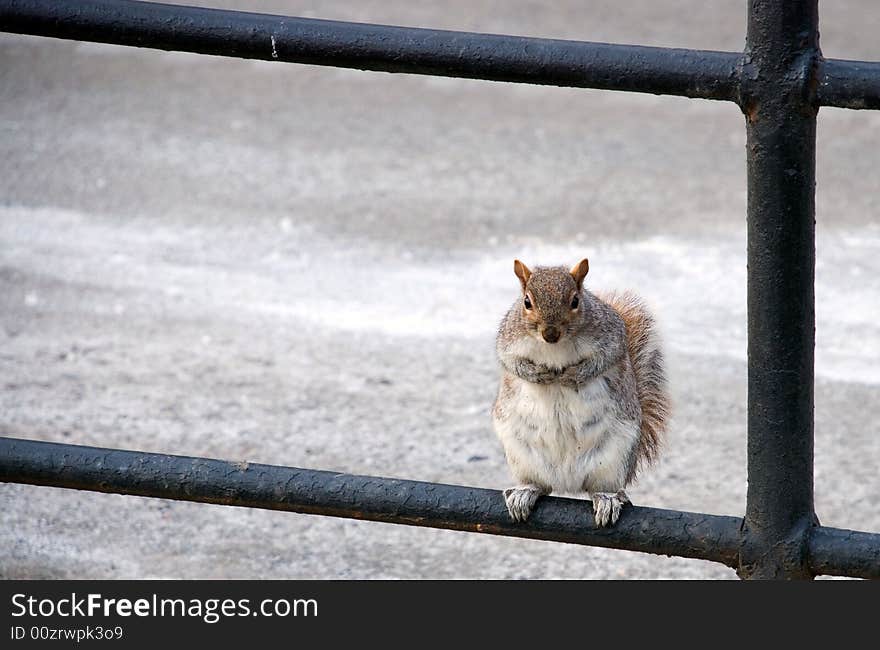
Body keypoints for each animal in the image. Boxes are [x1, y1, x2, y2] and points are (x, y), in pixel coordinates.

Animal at [492, 256, 672, 524]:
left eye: (575, 301)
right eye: (526, 302)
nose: (550, 334)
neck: (554, 348)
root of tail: (567, 482)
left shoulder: (611, 335)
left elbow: (604, 359)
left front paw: (573, 375)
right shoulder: (508, 339)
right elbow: (511, 362)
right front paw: (537, 374)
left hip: (616, 456)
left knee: (601, 487)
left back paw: (607, 499)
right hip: (520, 455)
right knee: (540, 485)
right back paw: (525, 492)